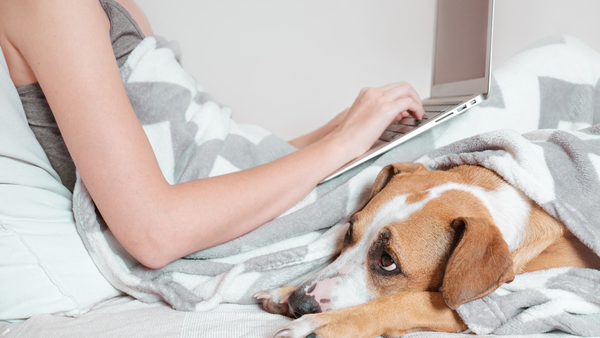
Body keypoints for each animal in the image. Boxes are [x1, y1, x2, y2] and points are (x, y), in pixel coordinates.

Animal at [253, 162, 600, 336]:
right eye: (350, 230)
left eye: (387, 261)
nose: (299, 303)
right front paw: (283, 292)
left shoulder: (487, 302)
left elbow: (406, 302)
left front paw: (321, 325)